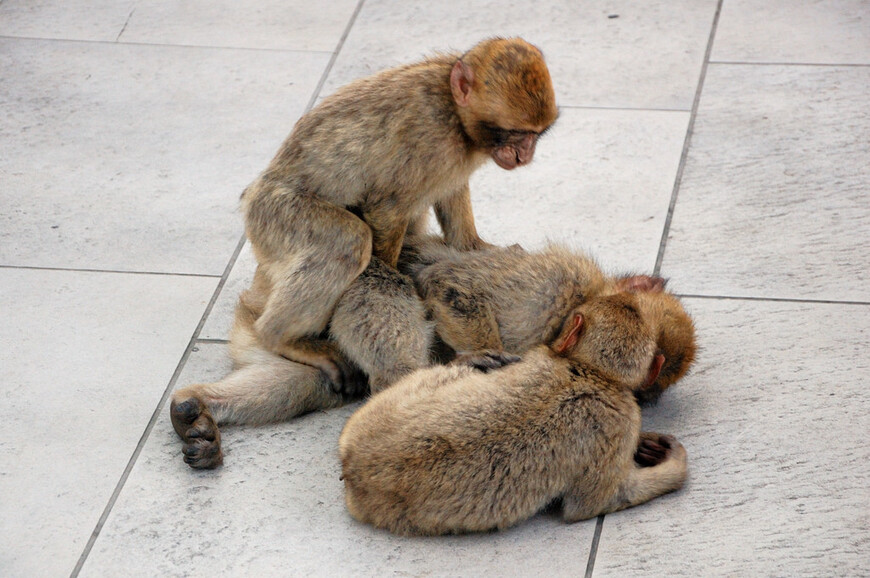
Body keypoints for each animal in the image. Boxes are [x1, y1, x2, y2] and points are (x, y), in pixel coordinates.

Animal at [244, 37, 560, 388]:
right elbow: (387, 209)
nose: (524, 154)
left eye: (534, 135)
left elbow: (451, 190)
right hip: (273, 216)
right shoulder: (431, 140)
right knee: (348, 242)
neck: (454, 111)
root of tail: (253, 197)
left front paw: (473, 248)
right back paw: (279, 338)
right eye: (515, 133)